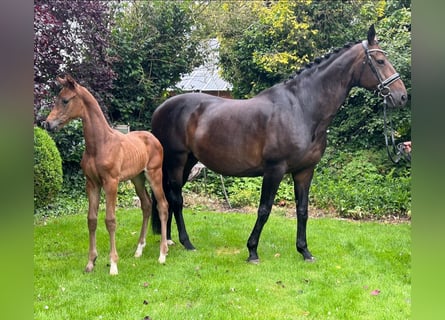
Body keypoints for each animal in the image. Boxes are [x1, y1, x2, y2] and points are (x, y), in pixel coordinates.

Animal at [45, 75, 169, 276]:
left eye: (65, 100)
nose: (47, 124)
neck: (99, 144)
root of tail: (154, 138)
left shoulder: (111, 182)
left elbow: (110, 220)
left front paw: (113, 265)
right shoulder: (92, 183)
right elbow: (92, 219)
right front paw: (90, 262)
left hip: (154, 174)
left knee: (163, 206)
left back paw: (162, 254)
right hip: (137, 178)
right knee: (147, 205)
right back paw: (139, 250)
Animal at [150, 24, 406, 262]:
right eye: (381, 61)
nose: (401, 96)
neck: (301, 108)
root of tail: (161, 108)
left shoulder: (305, 171)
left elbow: (302, 210)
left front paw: (304, 251)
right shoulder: (275, 169)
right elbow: (264, 209)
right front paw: (252, 251)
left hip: (187, 162)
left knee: (169, 197)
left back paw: (169, 238)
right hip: (176, 160)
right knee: (176, 199)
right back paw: (186, 242)